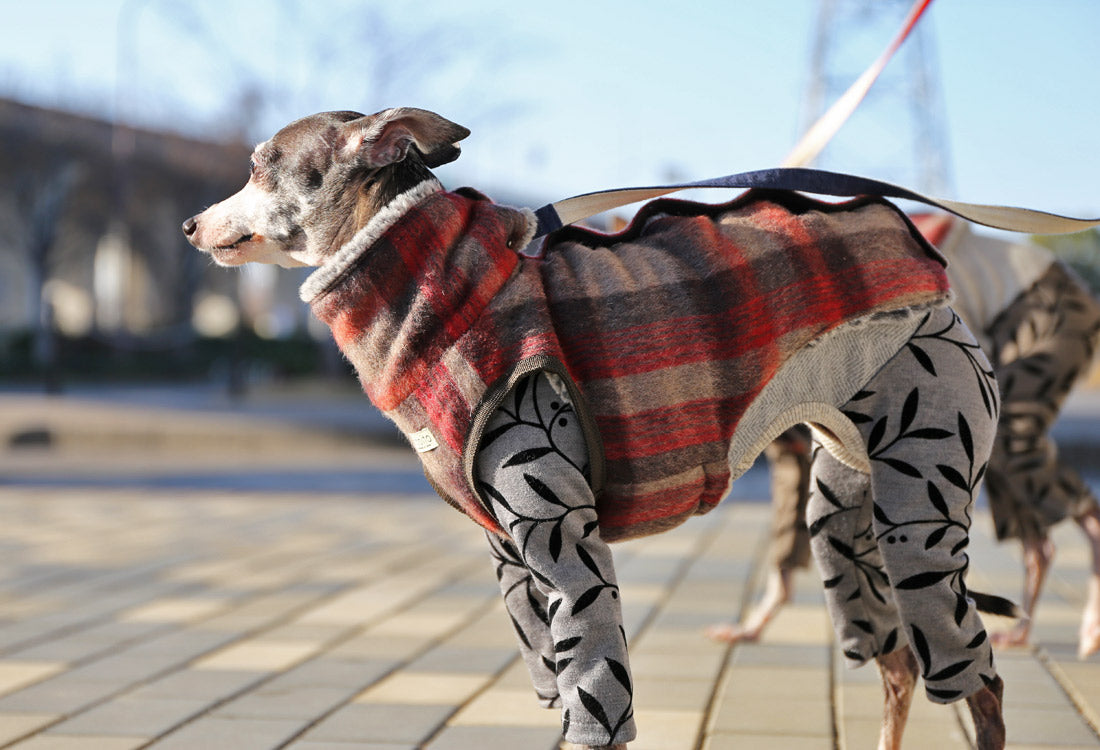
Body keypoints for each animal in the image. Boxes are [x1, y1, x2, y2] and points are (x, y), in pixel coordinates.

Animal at [182, 106, 1012, 747]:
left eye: (259, 165)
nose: (189, 223)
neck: (442, 295)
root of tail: (932, 268)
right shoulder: (512, 561)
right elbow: (554, 684)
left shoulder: (561, 541)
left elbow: (593, 695)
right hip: (843, 516)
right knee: (898, 662)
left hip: (920, 494)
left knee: (978, 683)